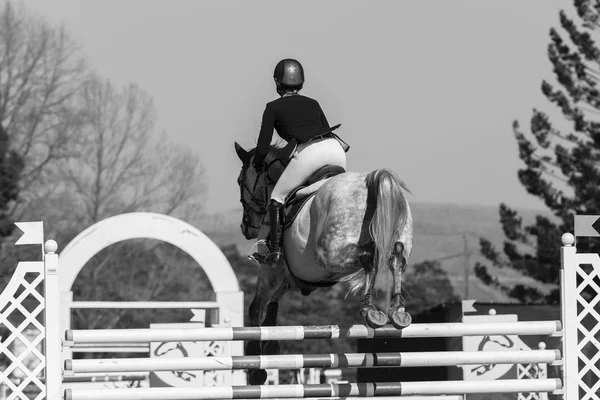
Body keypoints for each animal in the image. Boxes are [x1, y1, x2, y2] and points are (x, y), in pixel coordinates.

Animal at [233, 140, 412, 384]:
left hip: (331, 253)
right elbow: (273, 303)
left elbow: (256, 308)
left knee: (372, 256)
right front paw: (270, 345)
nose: (246, 227)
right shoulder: (294, 276)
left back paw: (369, 308)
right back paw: (396, 310)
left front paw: (256, 369)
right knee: (396, 258)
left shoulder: (273, 271)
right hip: (397, 238)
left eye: (241, 181)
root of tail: (372, 180)